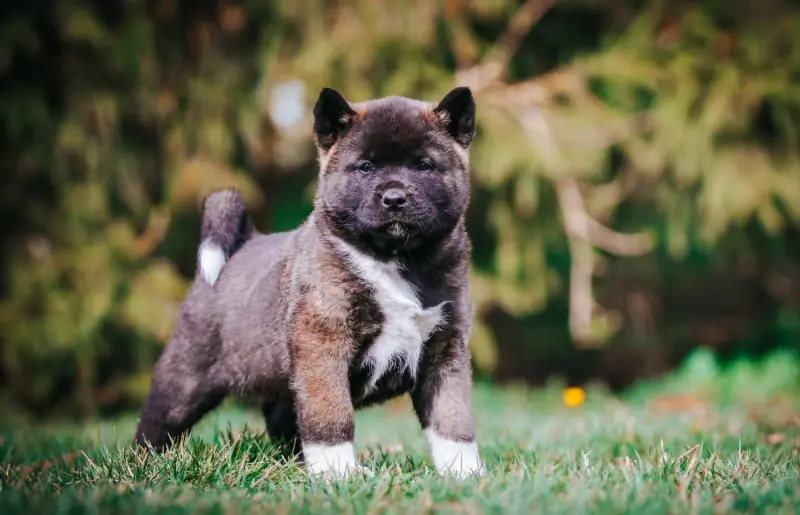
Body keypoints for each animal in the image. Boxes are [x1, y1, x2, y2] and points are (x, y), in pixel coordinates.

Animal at [133, 85, 482, 480]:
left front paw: (464, 473)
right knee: (157, 423)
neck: (394, 258)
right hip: (185, 379)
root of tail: (242, 244)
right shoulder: (323, 344)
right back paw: (143, 464)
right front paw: (338, 472)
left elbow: (452, 420)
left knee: (282, 420)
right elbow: (331, 414)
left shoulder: (445, 351)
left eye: (424, 165)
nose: (395, 198)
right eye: (365, 166)